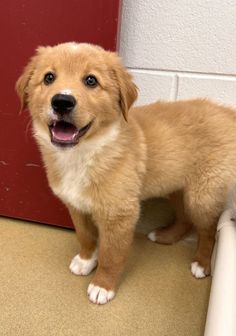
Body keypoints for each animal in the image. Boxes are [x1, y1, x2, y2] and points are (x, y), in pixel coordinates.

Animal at [17, 42, 236, 304]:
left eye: (91, 81)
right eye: (49, 77)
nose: (62, 101)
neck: (84, 153)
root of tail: (227, 113)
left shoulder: (120, 215)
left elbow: (111, 256)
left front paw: (103, 286)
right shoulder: (76, 205)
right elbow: (85, 236)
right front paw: (86, 260)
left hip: (202, 195)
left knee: (208, 229)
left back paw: (201, 264)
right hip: (175, 185)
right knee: (185, 217)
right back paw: (165, 236)